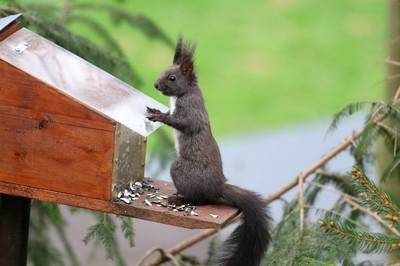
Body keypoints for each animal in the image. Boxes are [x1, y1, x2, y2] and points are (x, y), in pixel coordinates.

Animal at [147, 37, 272, 266]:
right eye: (164, 71)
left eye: (172, 77)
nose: (156, 85)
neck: (185, 92)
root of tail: (218, 187)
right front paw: (155, 110)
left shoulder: (191, 110)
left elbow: (182, 123)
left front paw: (160, 117)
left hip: (182, 171)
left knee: (201, 200)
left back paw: (181, 199)